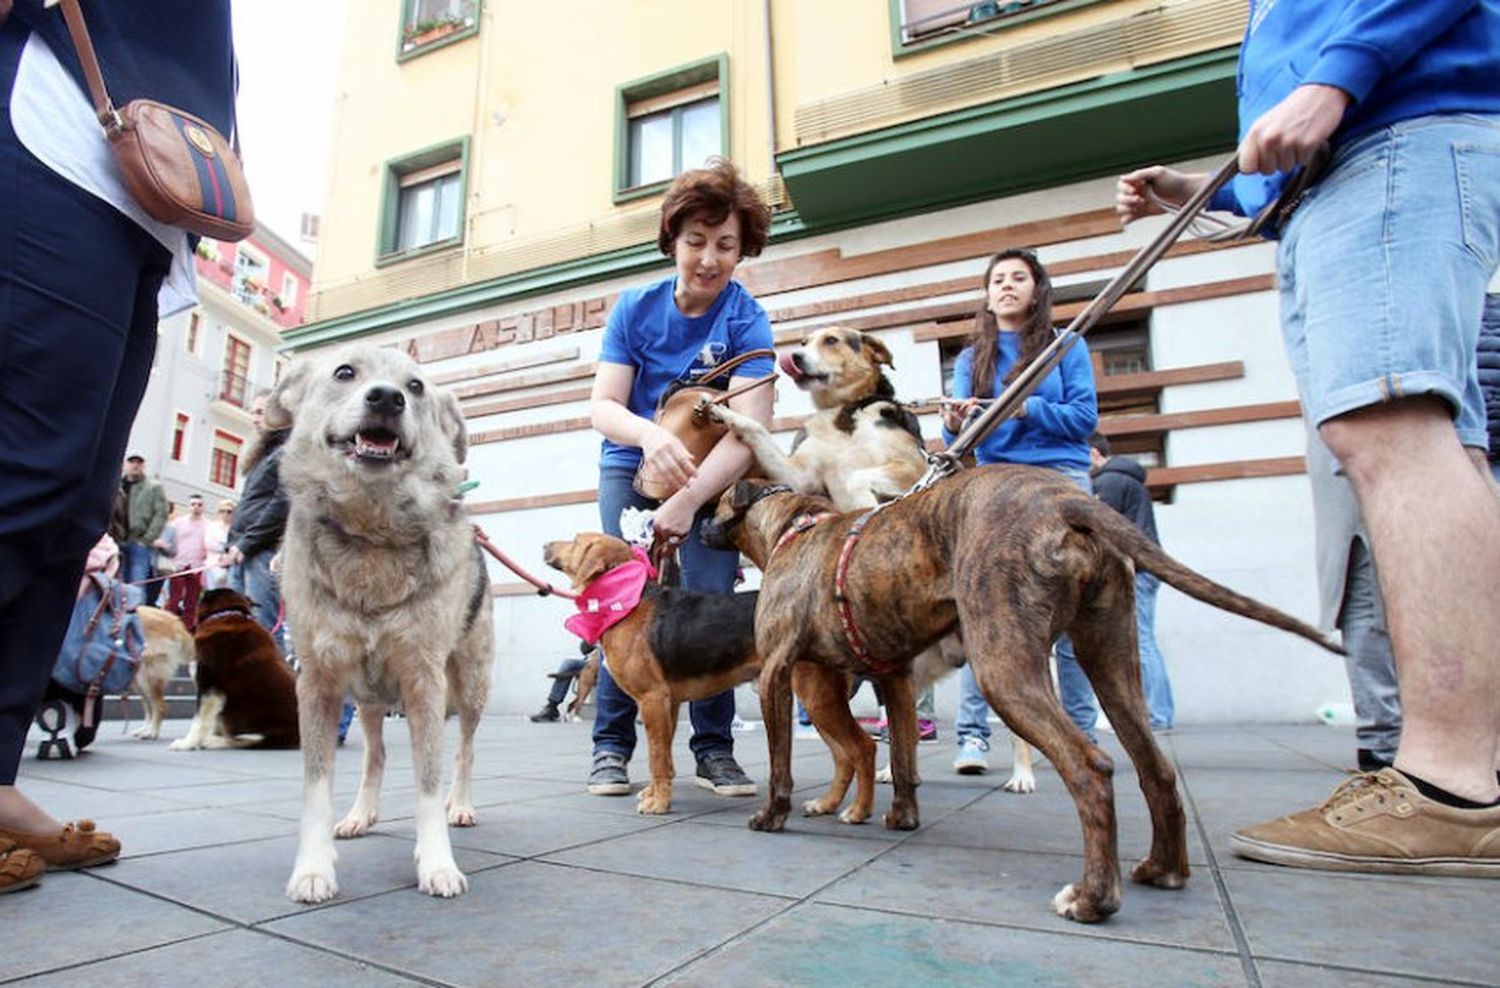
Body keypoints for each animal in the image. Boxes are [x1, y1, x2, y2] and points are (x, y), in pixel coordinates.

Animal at [170, 587, 298, 749]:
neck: (226, 613)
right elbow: (211, 721)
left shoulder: (208, 687)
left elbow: (198, 722)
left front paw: (187, 743)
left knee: (247, 740)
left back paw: (213, 741)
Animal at [546, 536, 876, 821]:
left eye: (575, 541)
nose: (545, 546)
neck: (626, 598)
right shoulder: (667, 705)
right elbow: (662, 758)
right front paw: (654, 794)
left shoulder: (652, 700)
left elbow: (656, 758)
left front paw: (658, 803)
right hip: (819, 701)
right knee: (844, 757)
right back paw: (826, 804)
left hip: (817, 698)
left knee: (863, 749)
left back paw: (858, 812)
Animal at [708, 467, 1344, 923]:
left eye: (714, 502)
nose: (697, 523)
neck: (795, 526)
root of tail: (1065, 499)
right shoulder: (896, 679)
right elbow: (906, 761)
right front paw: (902, 817)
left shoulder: (776, 674)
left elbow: (782, 764)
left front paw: (771, 816)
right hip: (1110, 659)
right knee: (1156, 769)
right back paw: (1163, 869)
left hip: (1005, 667)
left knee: (1091, 767)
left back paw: (1093, 898)